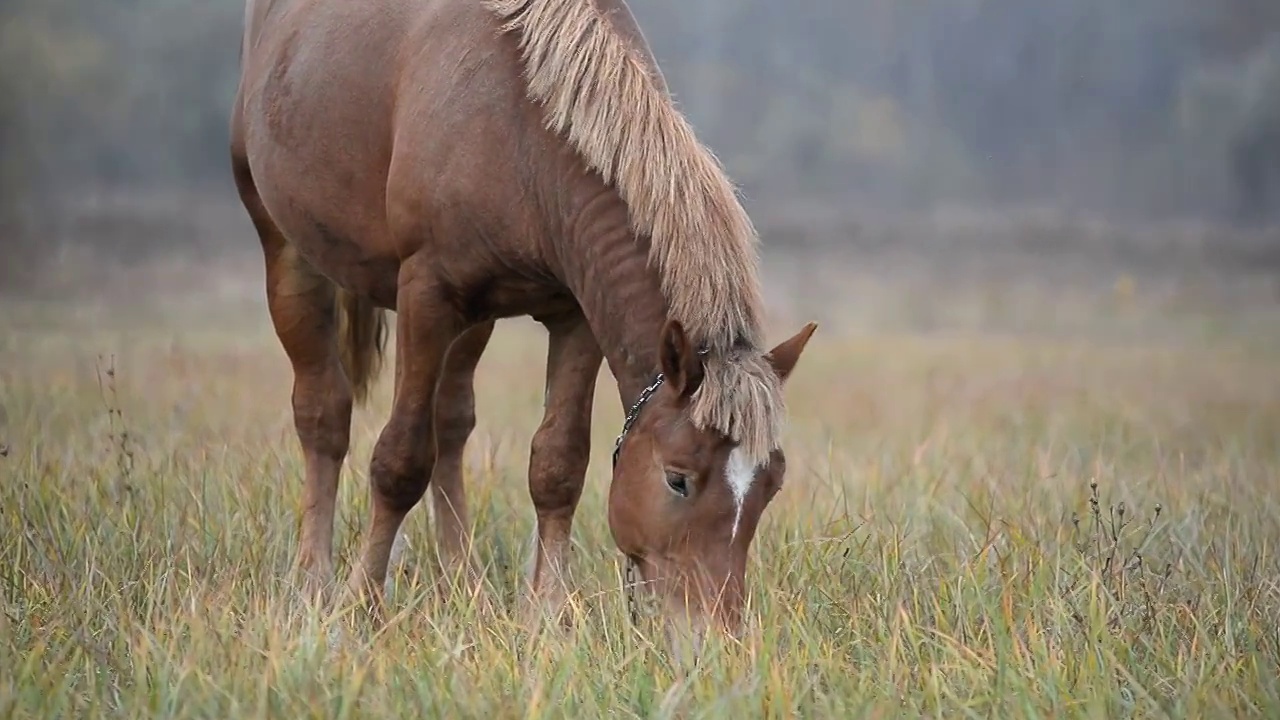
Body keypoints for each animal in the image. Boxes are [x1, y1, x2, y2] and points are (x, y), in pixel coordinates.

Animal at [230, 0, 814, 638]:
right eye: (678, 478)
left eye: (771, 484)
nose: (714, 636)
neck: (518, 130)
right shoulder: (426, 295)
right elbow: (399, 459)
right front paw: (361, 604)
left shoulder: (575, 313)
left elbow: (558, 464)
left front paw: (546, 617)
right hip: (287, 249)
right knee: (324, 416)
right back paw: (314, 581)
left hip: (473, 323)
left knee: (451, 424)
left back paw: (461, 582)